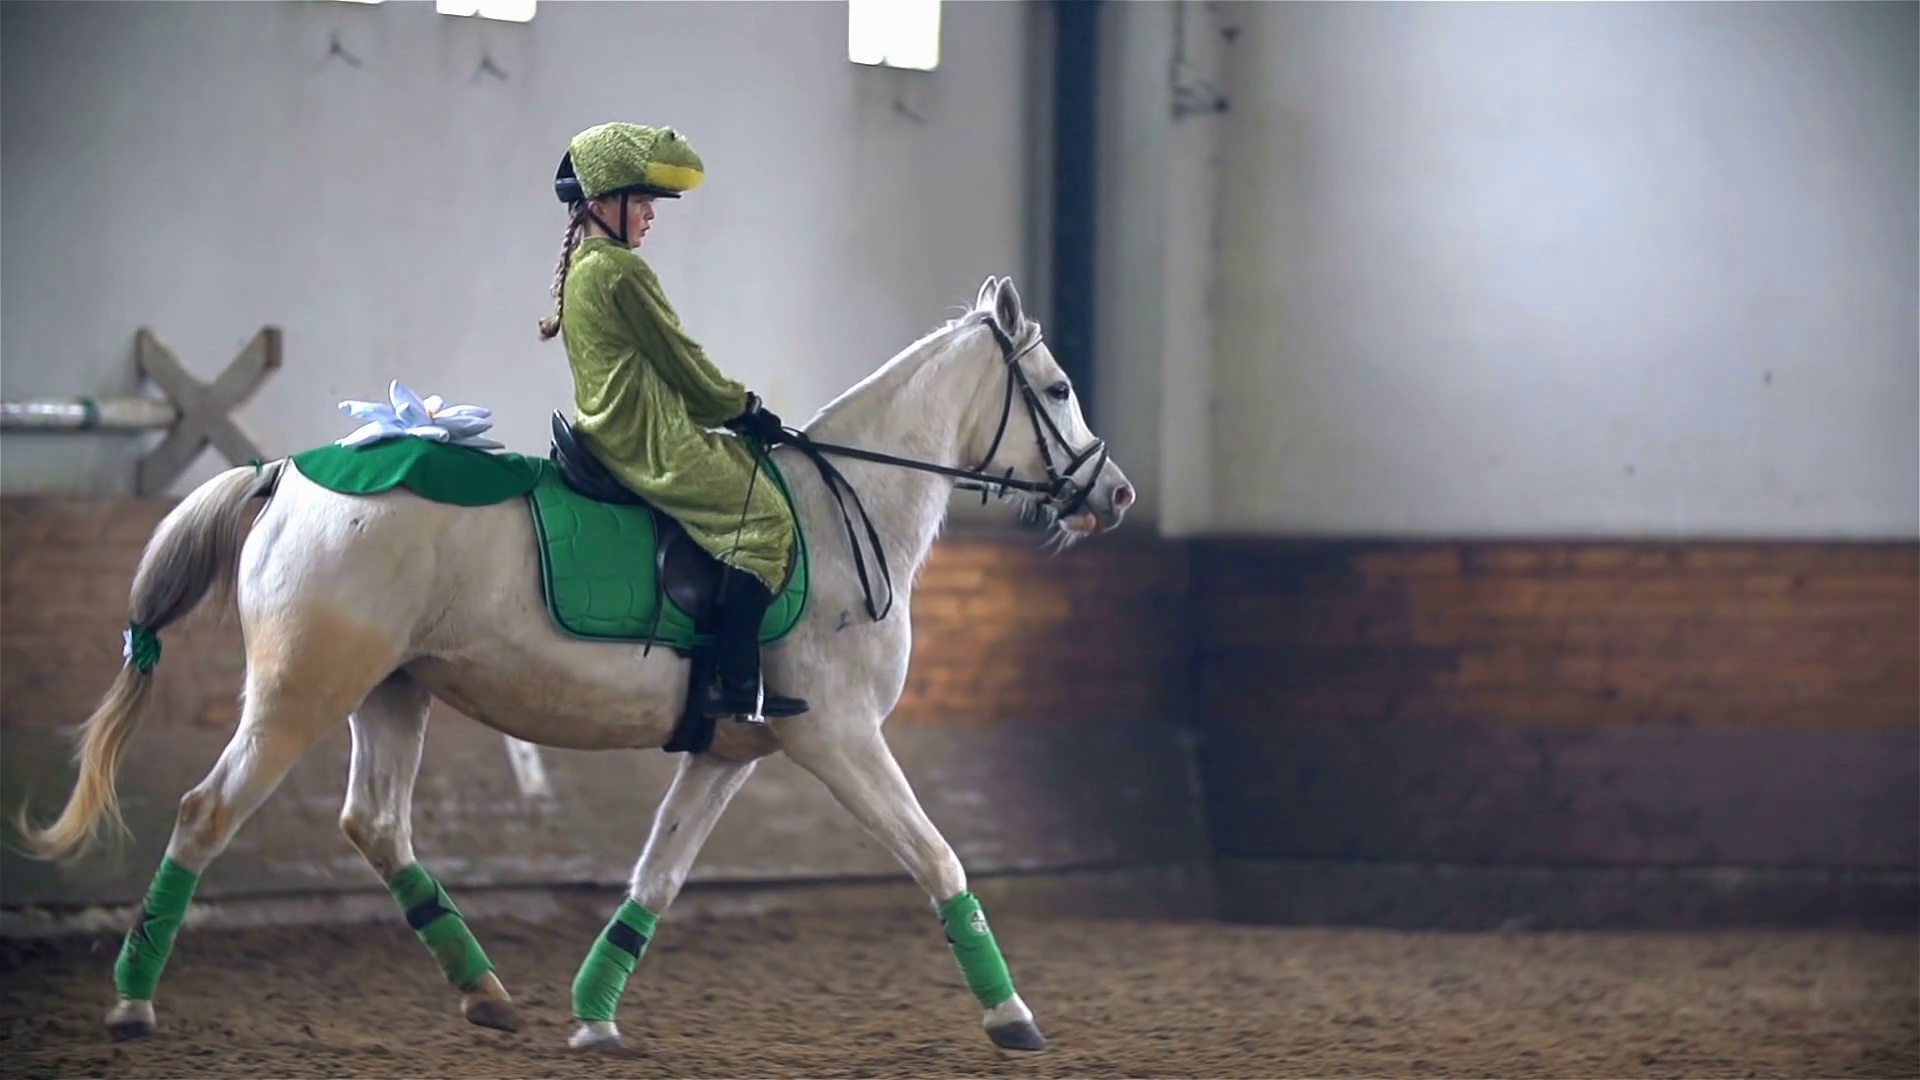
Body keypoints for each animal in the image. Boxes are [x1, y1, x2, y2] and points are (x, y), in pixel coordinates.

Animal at [14, 275, 1135, 1054]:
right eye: (1058, 388)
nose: (1115, 495)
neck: (841, 504)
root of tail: (289, 475)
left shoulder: (731, 752)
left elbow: (658, 878)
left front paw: (594, 1016)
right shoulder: (841, 739)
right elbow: (940, 859)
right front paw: (1014, 1017)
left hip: (392, 695)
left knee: (376, 825)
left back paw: (488, 995)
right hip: (299, 698)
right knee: (206, 816)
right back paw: (131, 1004)